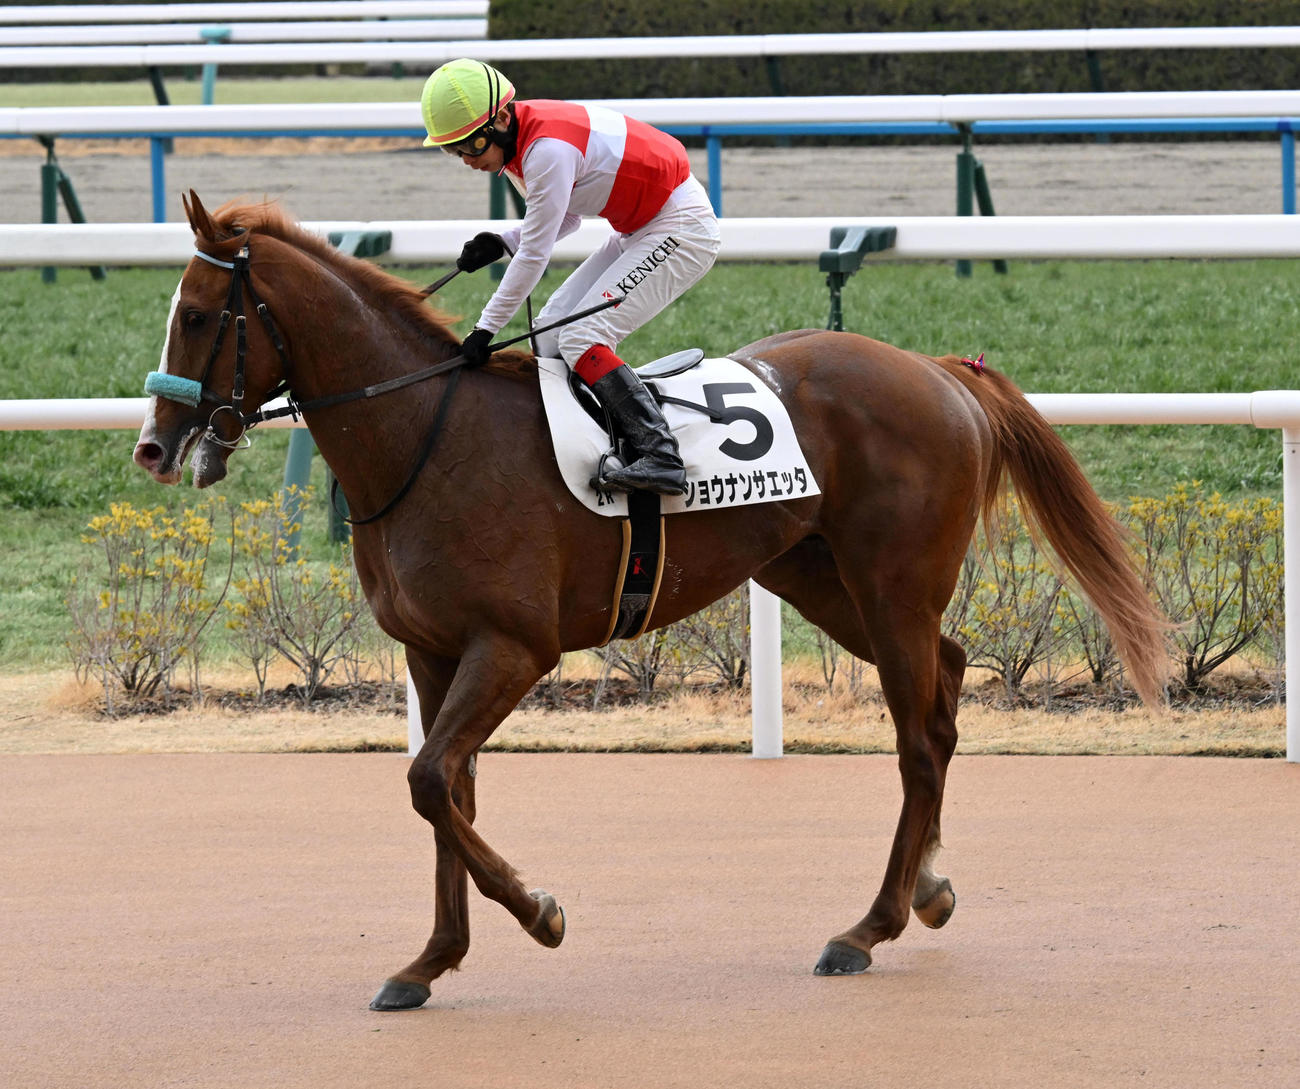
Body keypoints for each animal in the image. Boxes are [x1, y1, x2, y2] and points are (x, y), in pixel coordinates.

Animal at [133, 192, 1168, 1011]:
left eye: (199, 315)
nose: (153, 445)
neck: (425, 435)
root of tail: (940, 371)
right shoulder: (433, 651)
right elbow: (446, 789)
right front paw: (431, 960)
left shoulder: (515, 646)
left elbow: (430, 780)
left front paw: (541, 913)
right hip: (819, 578)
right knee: (946, 687)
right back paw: (929, 887)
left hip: (891, 584)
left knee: (918, 738)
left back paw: (866, 927)